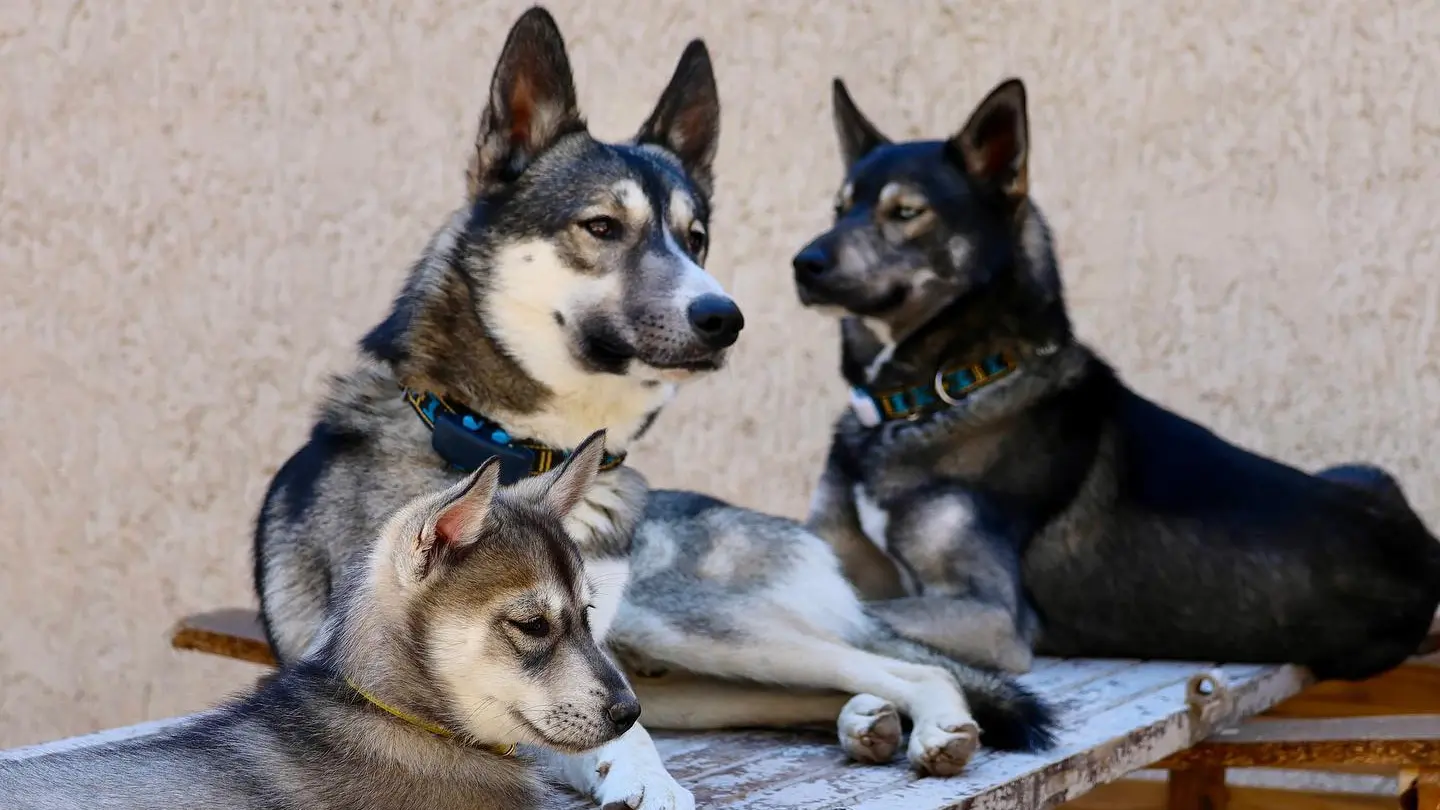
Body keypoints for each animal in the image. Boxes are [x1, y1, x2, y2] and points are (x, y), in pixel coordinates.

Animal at [253, 7, 1054, 789]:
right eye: (602, 227)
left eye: (696, 238)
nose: (724, 317)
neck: (524, 445)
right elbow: (591, 723)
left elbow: (606, 722)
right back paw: (867, 719)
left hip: (699, 625)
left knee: (907, 666)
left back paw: (932, 722)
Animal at [789, 75, 1440, 680]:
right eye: (838, 208)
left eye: (906, 213)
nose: (802, 264)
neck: (933, 397)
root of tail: (1424, 550)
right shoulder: (831, 551)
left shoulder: (989, 614)